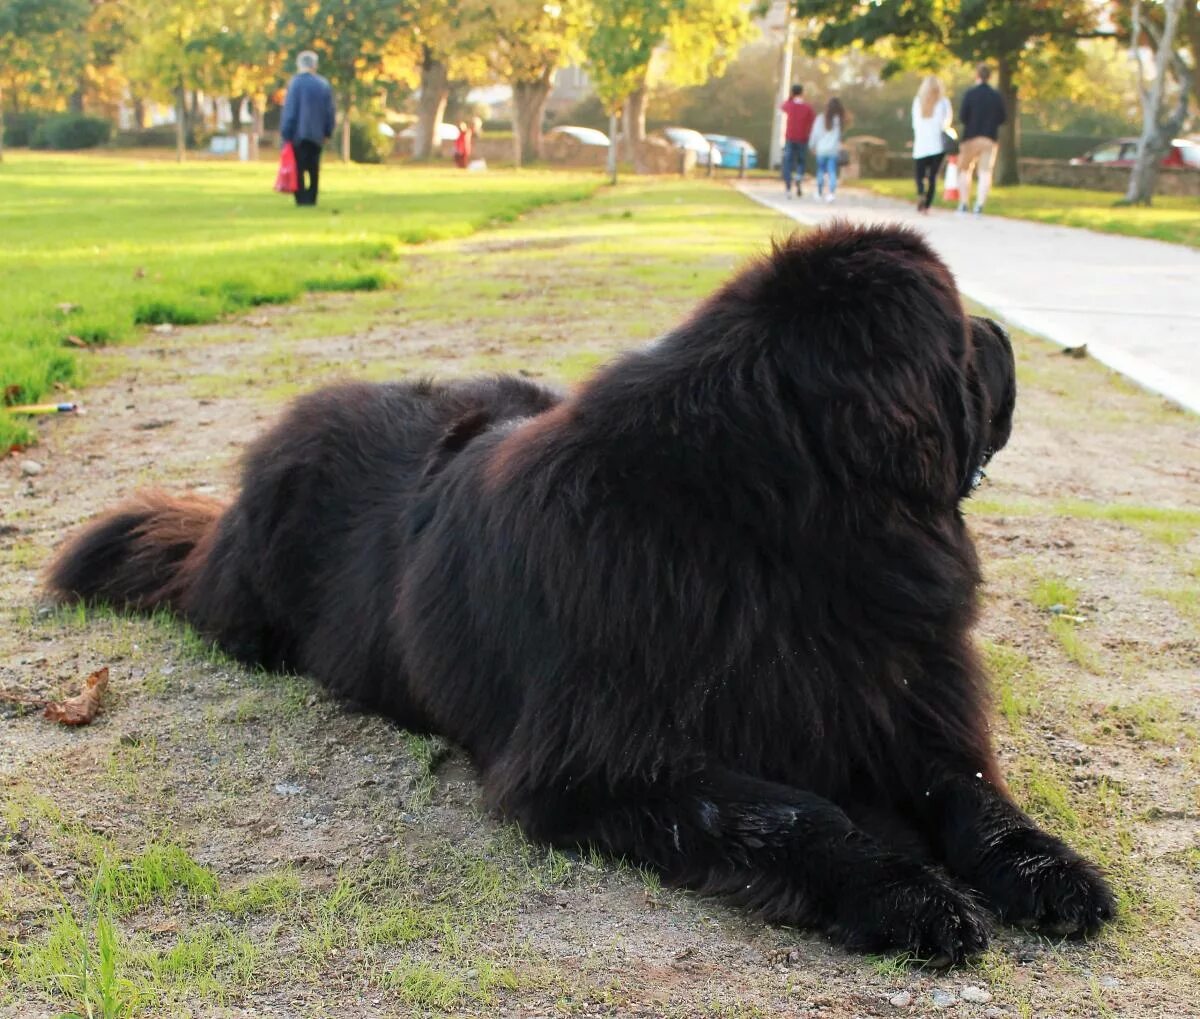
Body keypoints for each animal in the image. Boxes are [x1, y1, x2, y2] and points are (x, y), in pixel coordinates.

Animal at [49, 224, 1113, 960]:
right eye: (963, 339)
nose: (1004, 333)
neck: (772, 540)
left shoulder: (897, 699)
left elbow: (973, 793)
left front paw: (1049, 868)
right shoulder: (603, 761)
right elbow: (794, 812)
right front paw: (905, 893)